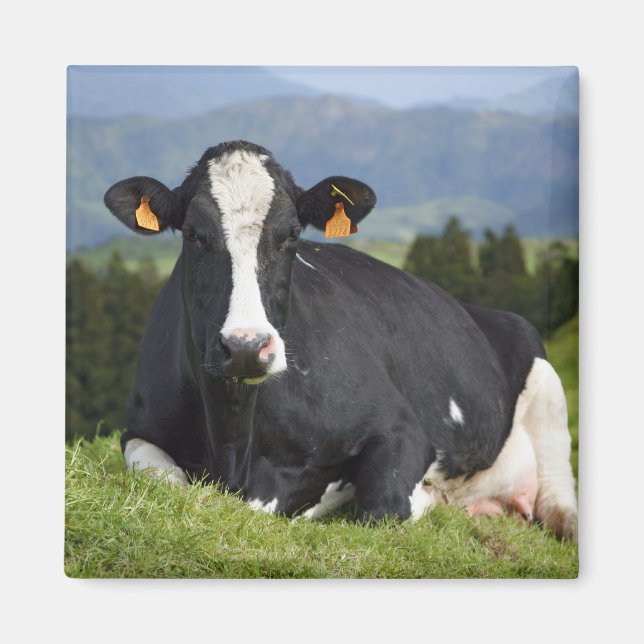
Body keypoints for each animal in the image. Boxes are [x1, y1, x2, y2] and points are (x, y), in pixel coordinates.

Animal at [103, 140, 578, 542]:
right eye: (192, 234)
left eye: (292, 234)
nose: (246, 347)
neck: (234, 444)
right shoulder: (138, 430)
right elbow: (166, 482)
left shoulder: (402, 428)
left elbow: (383, 506)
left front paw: (425, 496)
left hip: (548, 395)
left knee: (558, 501)